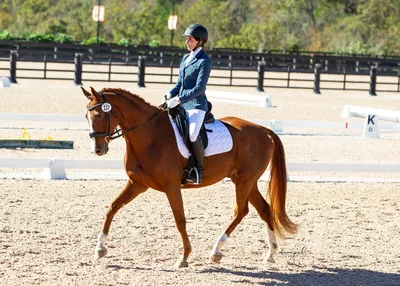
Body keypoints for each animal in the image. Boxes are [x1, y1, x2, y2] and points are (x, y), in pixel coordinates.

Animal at [82, 86, 296, 268]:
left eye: (99, 115)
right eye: (86, 116)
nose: (97, 150)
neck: (150, 135)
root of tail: (263, 130)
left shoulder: (171, 187)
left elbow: (180, 220)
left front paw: (184, 258)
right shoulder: (137, 184)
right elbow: (112, 207)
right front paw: (100, 248)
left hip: (245, 181)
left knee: (240, 211)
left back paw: (216, 251)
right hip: (245, 181)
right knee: (264, 209)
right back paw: (270, 254)